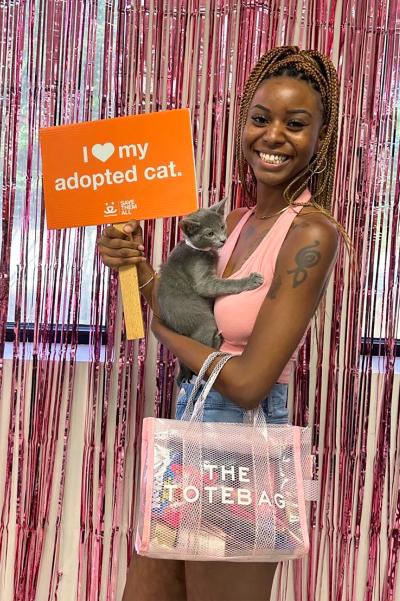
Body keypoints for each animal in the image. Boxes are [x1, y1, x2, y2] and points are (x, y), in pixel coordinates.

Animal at [158, 199, 264, 382]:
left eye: (222, 226)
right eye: (209, 233)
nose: (223, 240)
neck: (198, 250)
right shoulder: (203, 281)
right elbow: (225, 284)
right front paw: (251, 280)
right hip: (205, 322)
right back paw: (217, 340)